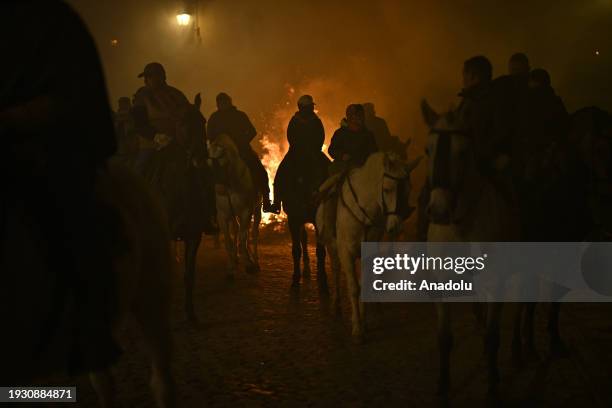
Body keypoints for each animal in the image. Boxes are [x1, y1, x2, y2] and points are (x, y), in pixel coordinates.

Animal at [208, 134, 260, 278]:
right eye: (209, 164)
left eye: (221, 160)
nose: (219, 190)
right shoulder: (222, 215)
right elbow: (228, 239)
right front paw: (231, 267)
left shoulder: (246, 212)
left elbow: (244, 236)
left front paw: (248, 263)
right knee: (237, 230)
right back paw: (237, 257)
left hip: (257, 211)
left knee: (253, 232)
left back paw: (254, 260)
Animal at [316, 149, 420, 338]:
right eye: (387, 189)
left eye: (408, 190)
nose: (396, 226)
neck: (364, 211)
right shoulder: (346, 253)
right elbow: (353, 287)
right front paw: (357, 328)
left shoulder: (369, 254)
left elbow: (364, 284)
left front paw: (363, 323)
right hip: (332, 247)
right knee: (336, 271)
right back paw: (336, 304)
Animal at [420, 99, 520, 402]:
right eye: (427, 150)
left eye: (463, 152)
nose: (439, 211)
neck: (461, 228)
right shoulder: (440, 286)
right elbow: (444, 338)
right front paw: (443, 385)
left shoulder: (496, 284)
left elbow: (492, 336)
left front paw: (493, 386)